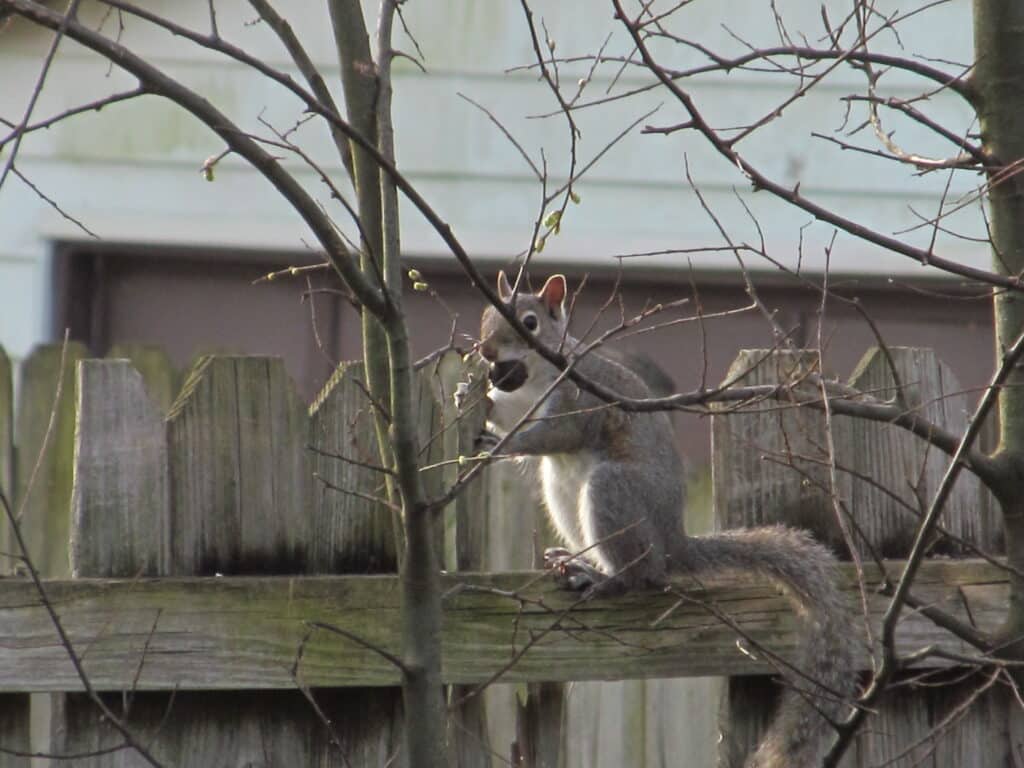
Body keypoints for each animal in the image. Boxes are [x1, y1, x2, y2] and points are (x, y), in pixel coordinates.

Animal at [467, 270, 855, 768]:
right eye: (485, 315)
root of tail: (674, 543)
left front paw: (501, 444)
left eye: (529, 322)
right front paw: (478, 409)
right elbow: (509, 418)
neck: (535, 380)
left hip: (612, 492)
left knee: (642, 576)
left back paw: (603, 580)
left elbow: (554, 435)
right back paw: (577, 564)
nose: (486, 351)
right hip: (562, 495)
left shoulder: (579, 403)